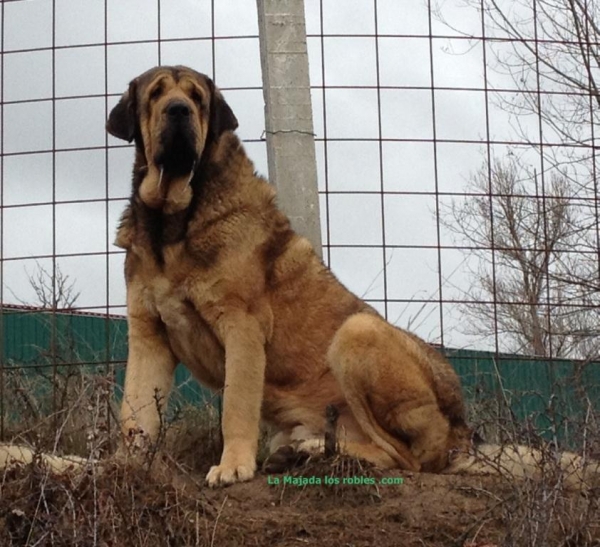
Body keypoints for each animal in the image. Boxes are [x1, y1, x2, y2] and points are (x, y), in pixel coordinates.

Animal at [105, 64, 596, 488]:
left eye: (196, 98)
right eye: (156, 94)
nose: (178, 111)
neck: (171, 224)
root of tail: (462, 437)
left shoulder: (242, 327)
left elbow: (236, 408)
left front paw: (232, 467)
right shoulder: (149, 335)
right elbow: (134, 414)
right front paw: (122, 467)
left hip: (359, 331)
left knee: (406, 459)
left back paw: (317, 454)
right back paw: (302, 451)